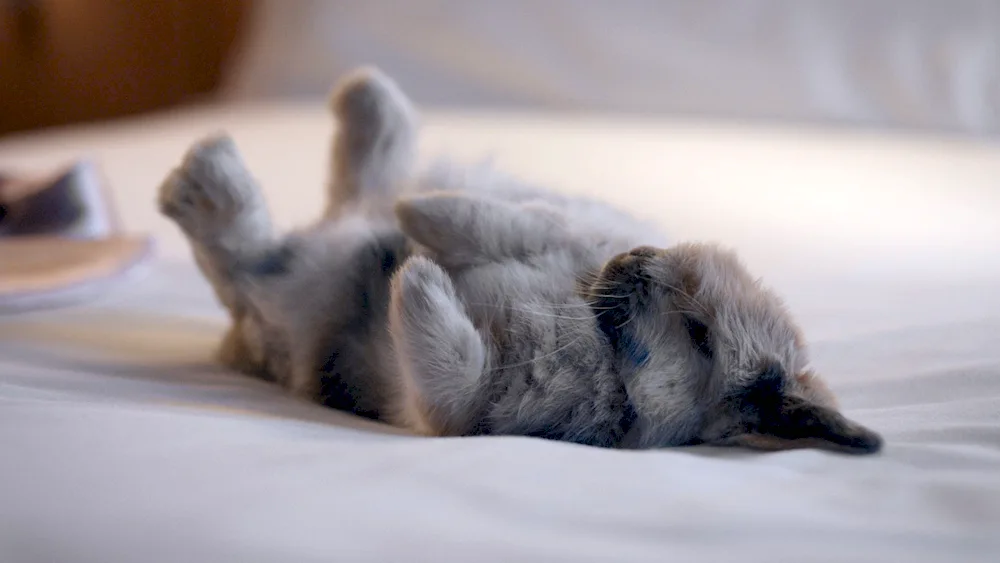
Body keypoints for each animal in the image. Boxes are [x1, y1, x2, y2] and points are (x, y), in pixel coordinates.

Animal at [158, 67, 884, 454]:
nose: (633, 261)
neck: (597, 328)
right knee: (357, 187)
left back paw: (202, 179)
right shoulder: (560, 231)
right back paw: (367, 105)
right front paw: (424, 220)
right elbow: (500, 223)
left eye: (699, 335)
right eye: (693, 306)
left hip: (293, 307)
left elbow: (447, 361)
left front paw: (418, 275)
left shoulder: (471, 407)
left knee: (244, 253)